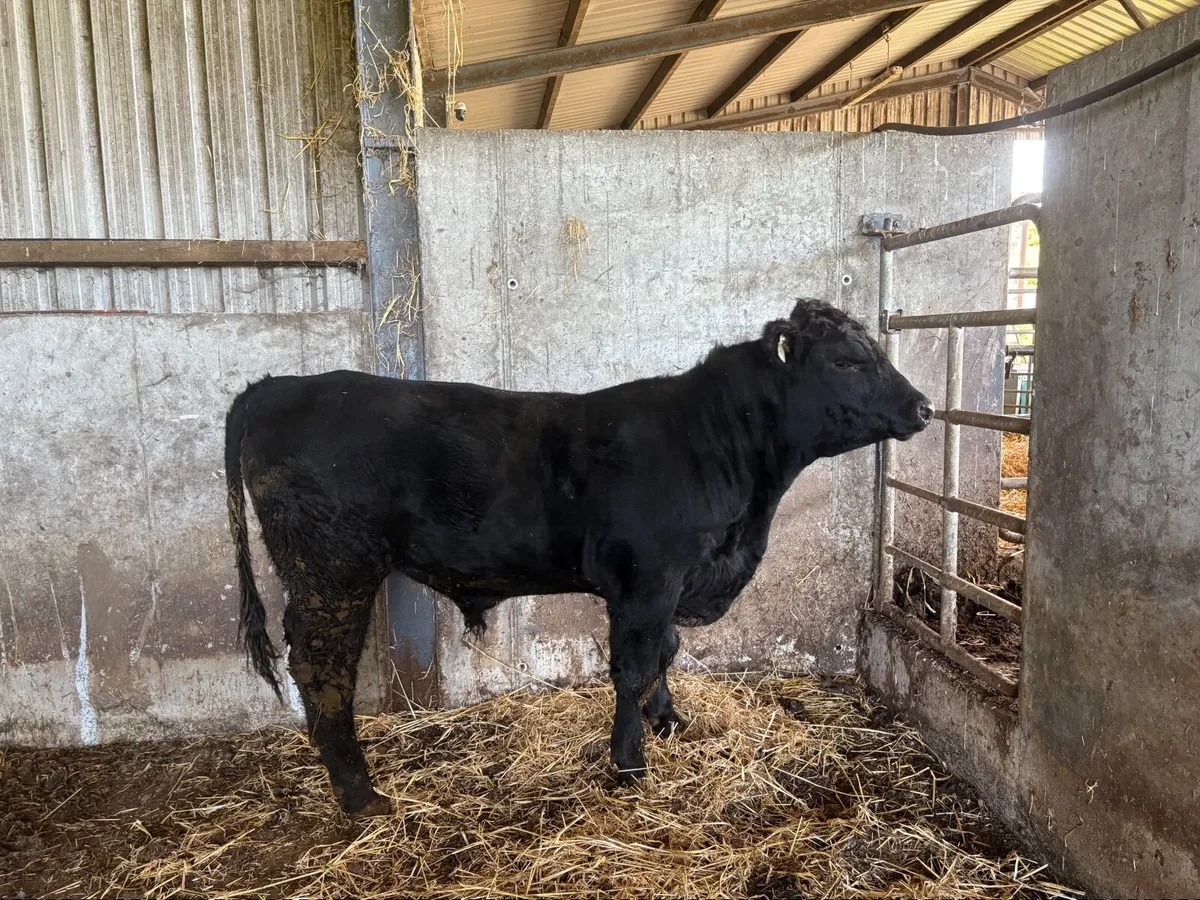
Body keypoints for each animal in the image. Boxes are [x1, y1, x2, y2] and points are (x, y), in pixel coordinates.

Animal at [225, 298, 933, 817]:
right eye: (847, 362)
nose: (924, 407)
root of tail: (276, 386)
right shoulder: (649, 578)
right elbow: (634, 665)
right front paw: (630, 761)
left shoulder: (668, 585)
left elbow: (665, 653)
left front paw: (669, 721)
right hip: (331, 570)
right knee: (321, 667)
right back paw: (359, 794)